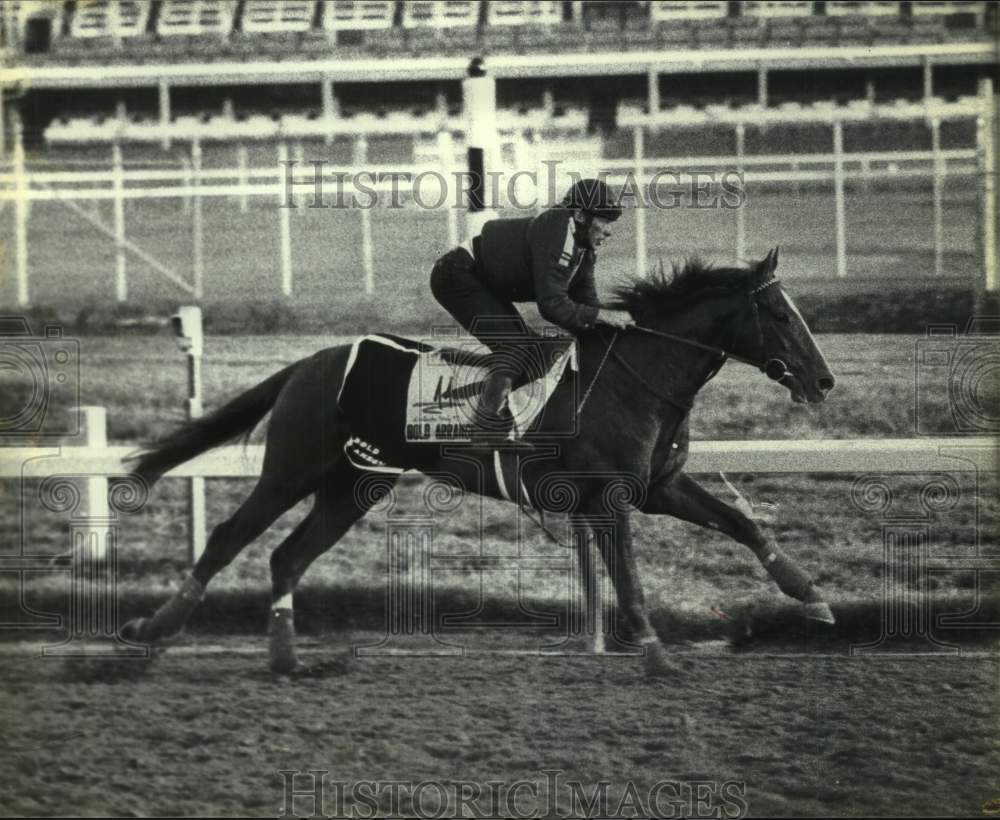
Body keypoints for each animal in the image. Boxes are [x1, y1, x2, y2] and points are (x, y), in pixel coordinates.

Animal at [121, 248, 836, 672]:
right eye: (778, 313)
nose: (823, 380)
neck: (634, 377)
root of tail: (308, 363)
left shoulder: (660, 486)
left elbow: (743, 524)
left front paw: (812, 597)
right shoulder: (607, 499)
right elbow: (630, 581)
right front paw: (658, 658)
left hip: (354, 485)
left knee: (287, 557)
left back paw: (286, 657)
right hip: (292, 469)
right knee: (229, 537)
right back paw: (155, 626)